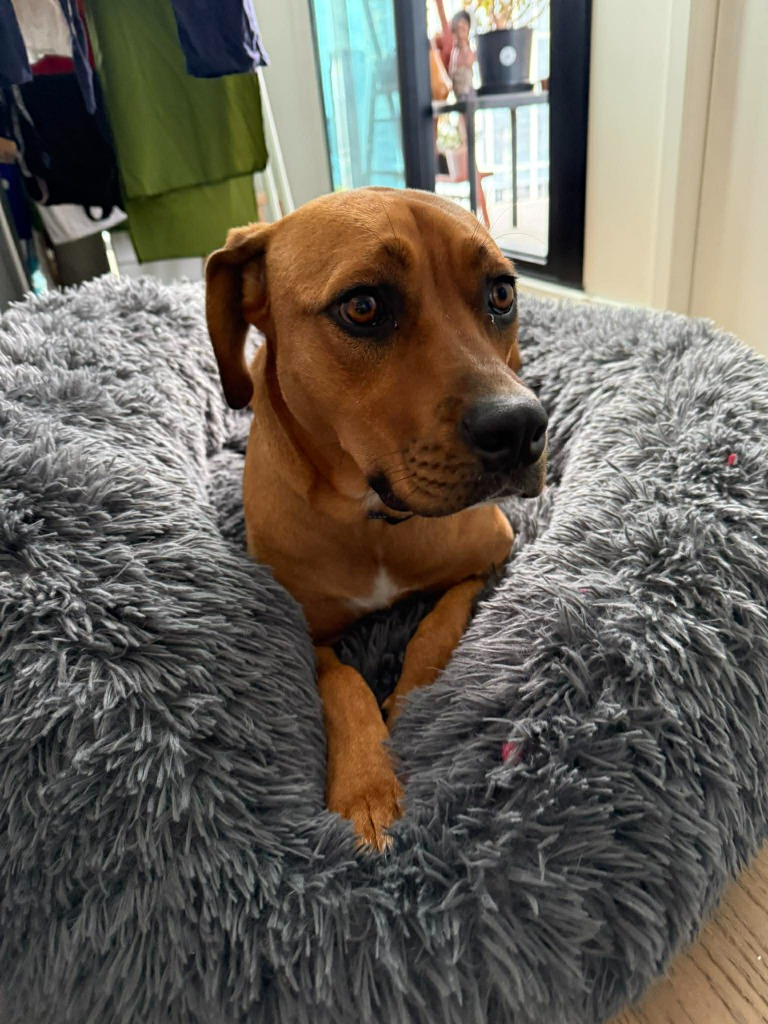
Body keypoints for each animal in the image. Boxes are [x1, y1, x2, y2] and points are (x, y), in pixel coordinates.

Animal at [205, 187, 548, 849]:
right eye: (363, 306)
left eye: (501, 294)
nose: (521, 426)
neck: (372, 519)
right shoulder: (302, 627)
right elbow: (342, 683)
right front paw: (365, 783)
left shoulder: (491, 555)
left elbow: (434, 628)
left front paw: (412, 707)